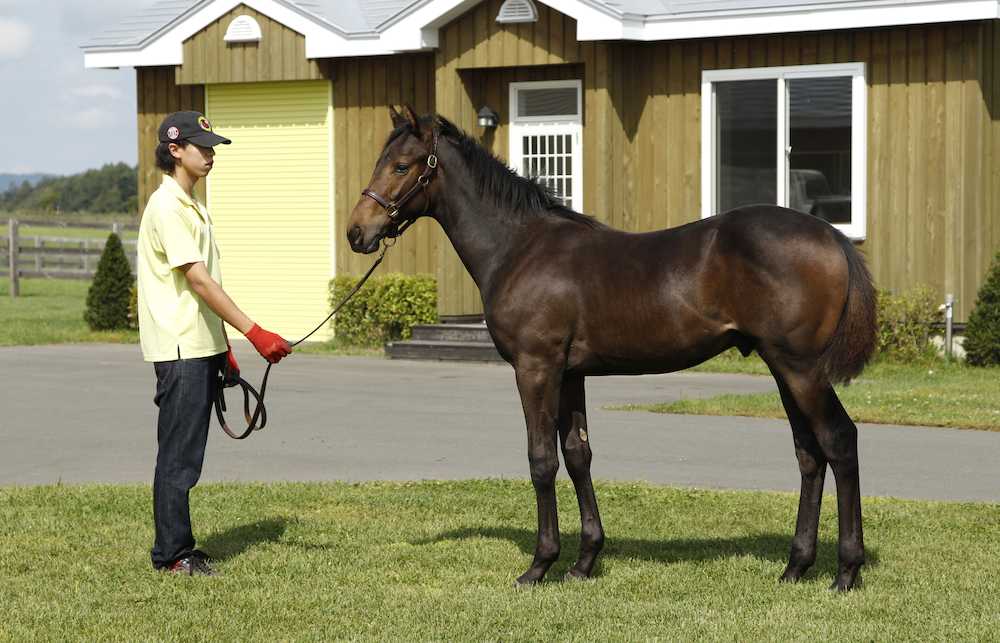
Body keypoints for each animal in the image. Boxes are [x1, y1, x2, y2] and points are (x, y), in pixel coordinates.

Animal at [350, 107, 876, 592]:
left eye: (401, 165)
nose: (358, 232)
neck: (521, 247)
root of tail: (831, 235)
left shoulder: (535, 367)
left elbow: (541, 459)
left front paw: (539, 566)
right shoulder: (570, 374)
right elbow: (577, 455)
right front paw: (584, 562)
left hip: (800, 368)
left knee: (838, 441)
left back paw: (846, 571)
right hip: (781, 367)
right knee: (809, 454)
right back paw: (795, 567)